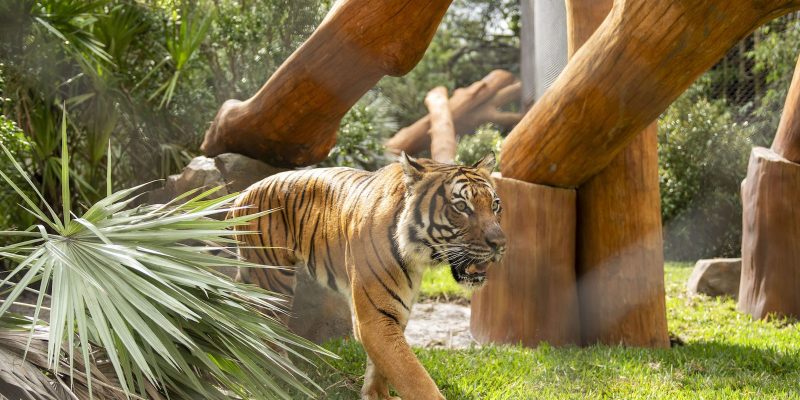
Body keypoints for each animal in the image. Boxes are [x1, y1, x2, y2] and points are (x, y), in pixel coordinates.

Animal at [231, 152, 506, 400]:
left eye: (495, 205)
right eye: (461, 207)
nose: (500, 243)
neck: (418, 255)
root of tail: (242, 194)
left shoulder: (394, 310)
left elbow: (383, 365)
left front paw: (377, 395)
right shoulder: (375, 316)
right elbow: (413, 377)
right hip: (273, 281)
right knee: (268, 329)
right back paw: (282, 375)